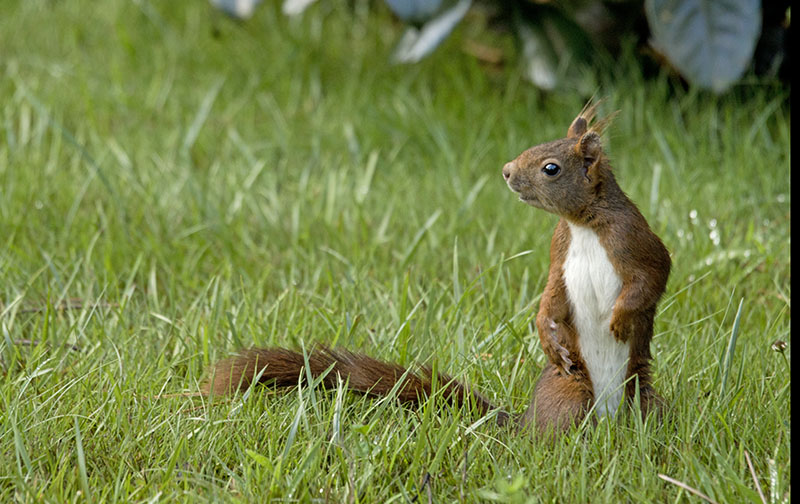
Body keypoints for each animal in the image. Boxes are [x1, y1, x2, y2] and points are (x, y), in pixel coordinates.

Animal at [200, 101, 668, 434]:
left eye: (550, 168)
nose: (506, 171)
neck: (582, 226)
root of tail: (523, 423)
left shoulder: (634, 238)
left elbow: (652, 276)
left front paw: (620, 320)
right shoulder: (560, 250)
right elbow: (550, 296)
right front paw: (549, 337)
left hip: (643, 395)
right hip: (568, 394)